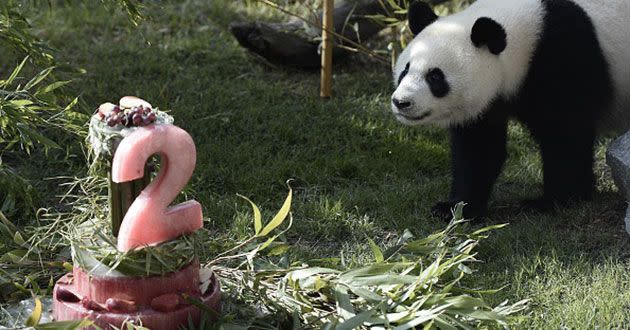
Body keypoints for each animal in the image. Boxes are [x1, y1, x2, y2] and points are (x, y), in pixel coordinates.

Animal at [392, 1, 630, 220]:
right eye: (405, 69)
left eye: (435, 77)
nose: (401, 102)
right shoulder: (485, 105)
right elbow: (479, 148)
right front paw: (454, 208)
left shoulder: (566, 55)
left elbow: (565, 133)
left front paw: (553, 201)